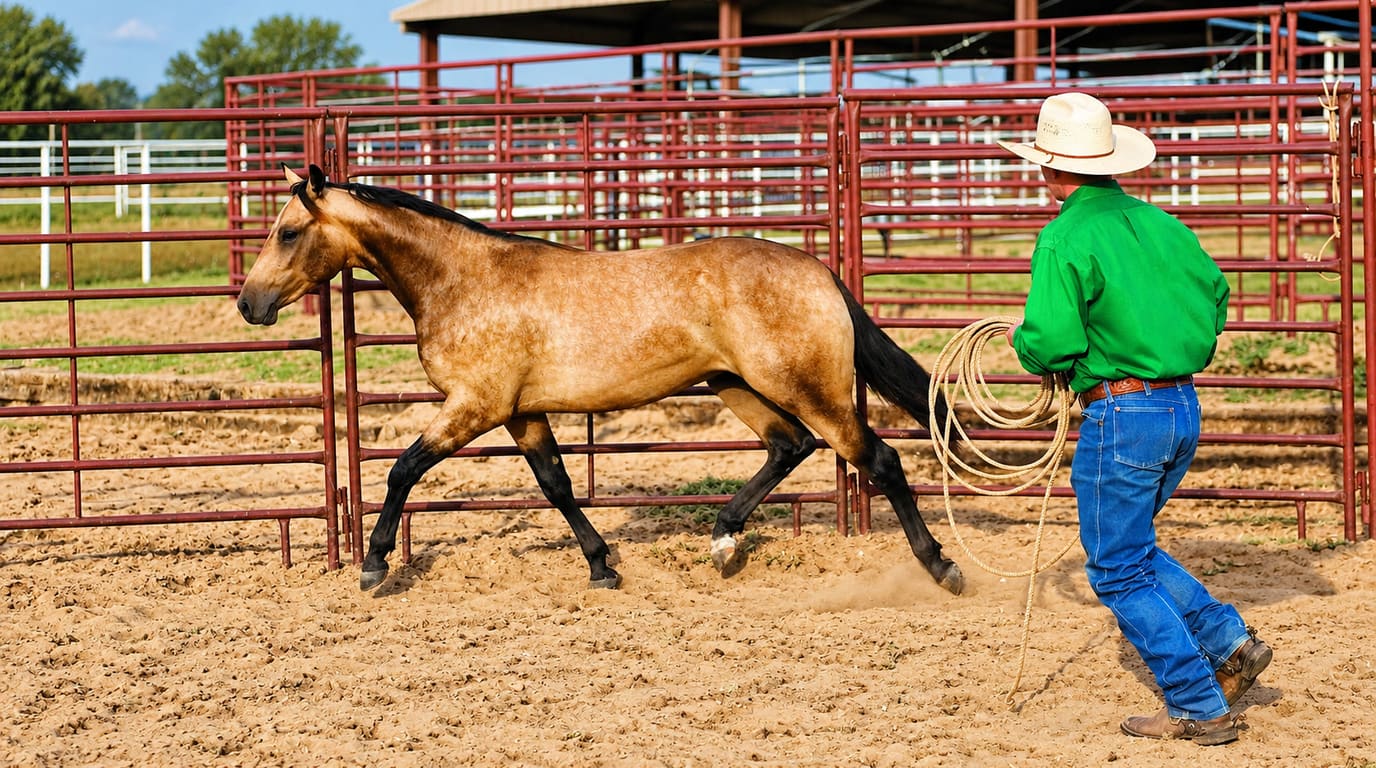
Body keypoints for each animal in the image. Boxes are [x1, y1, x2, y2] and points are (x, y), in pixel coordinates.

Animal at [237, 164, 965, 596]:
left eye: (288, 231)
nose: (249, 304)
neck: (463, 279)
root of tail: (818, 272)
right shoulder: (520, 412)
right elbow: (557, 484)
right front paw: (601, 566)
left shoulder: (474, 405)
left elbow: (401, 470)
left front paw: (373, 564)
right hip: (735, 384)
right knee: (789, 446)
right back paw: (723, 539)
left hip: (809, 390)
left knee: (879, 459)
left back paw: (942, 567)